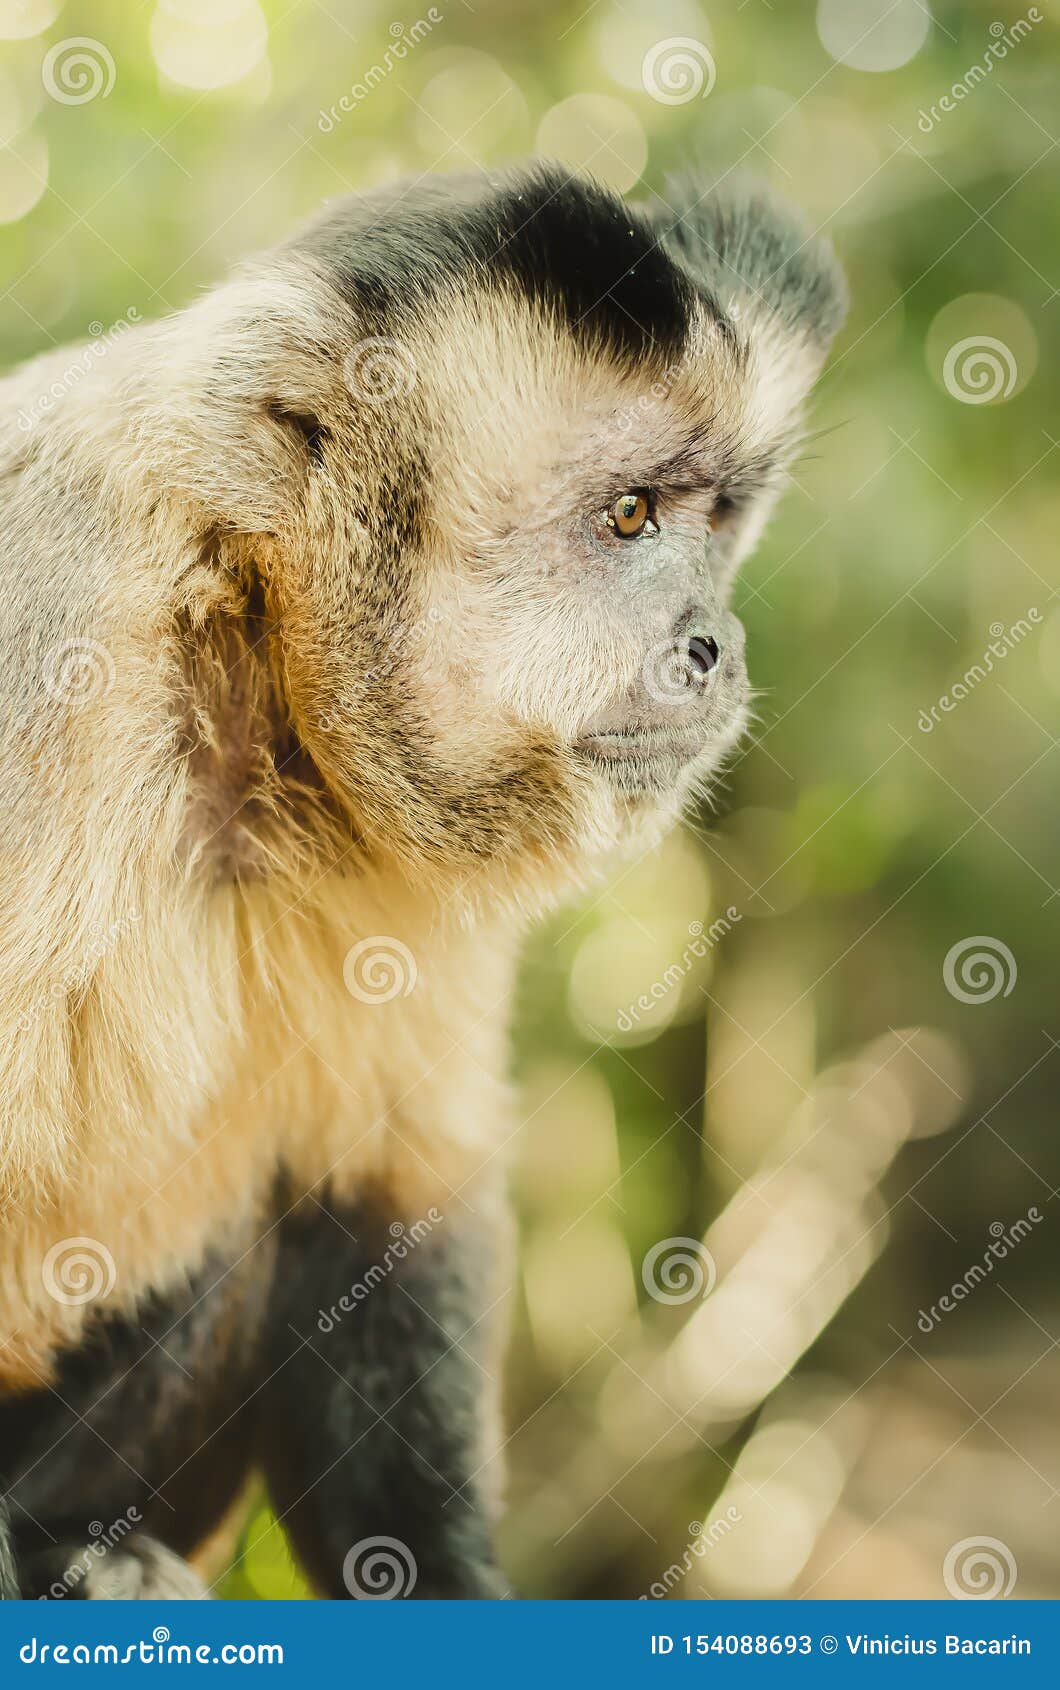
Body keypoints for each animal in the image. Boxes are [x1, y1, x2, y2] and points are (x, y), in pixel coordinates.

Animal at [0, 164, 845, 1602]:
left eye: (716, 519)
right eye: (629, 515)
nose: (715, 641)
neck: (240, 645)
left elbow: (387, 1202)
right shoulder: (53, 630)